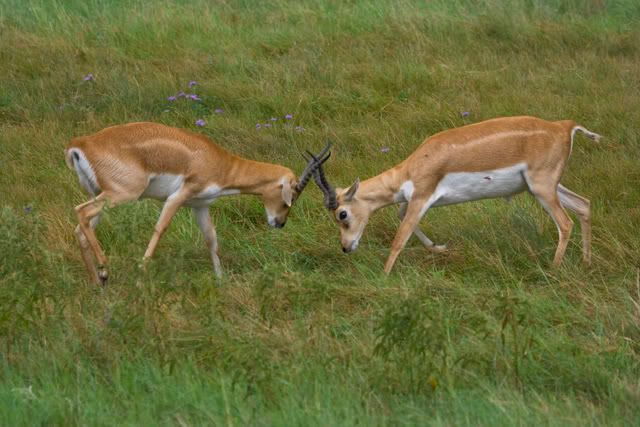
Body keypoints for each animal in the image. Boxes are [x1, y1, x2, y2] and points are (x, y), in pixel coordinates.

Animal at [66, 122, 330, 286]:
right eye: (291, 198)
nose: (279, 223)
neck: (221, 163)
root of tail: (80, 144)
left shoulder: (200, 205)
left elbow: (211, 239)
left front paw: (221, 281)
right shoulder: (178, 197)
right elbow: (160, 229)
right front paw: (141, 278)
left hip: (103, 196)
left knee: (81, 228)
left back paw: (97, 281)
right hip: (121, 195)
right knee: (80, 212)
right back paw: (104, 269)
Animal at [310, 115, 600, 272]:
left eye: (342, 214)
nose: (346, 247)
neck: (414, 165)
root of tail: (563, 126)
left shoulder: (421, 197)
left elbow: (399, 238)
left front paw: (384, 275)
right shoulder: (414, 201)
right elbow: (402, 217)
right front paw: (440, 248)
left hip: (542, 188)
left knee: (566, 223)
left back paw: (552, 270)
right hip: (543, 187)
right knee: (584, 205)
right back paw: (586, 263)